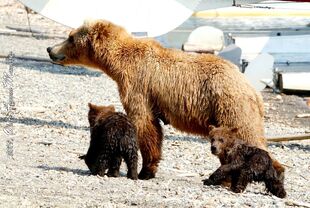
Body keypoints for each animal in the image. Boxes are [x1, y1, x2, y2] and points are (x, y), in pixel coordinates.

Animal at [46, 19, 284, 179]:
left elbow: (145, 124)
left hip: (230, 106)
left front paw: (146, 170)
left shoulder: (139, 86)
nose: (49, 49)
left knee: (248, 137)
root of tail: (254, 90)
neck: (117, 64)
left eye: (70, 37)